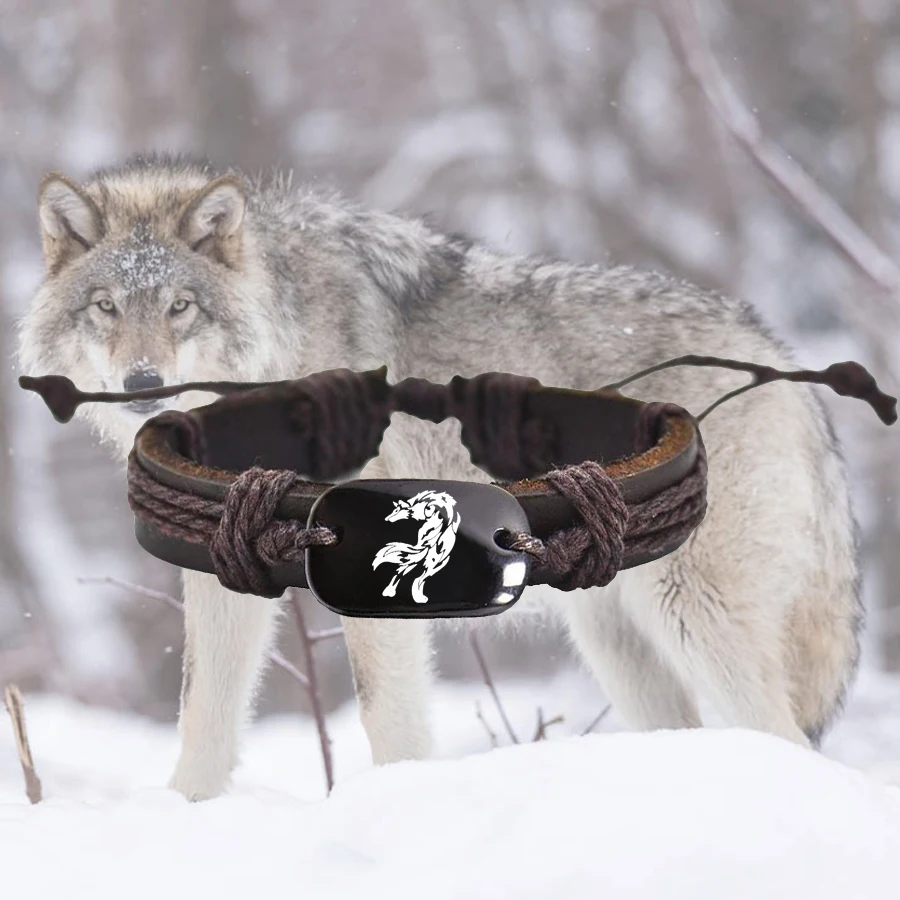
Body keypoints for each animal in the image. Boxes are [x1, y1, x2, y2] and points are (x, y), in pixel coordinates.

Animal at [18, 153, 861, 801]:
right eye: (106, 307)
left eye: (180, 307)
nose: (143, 384)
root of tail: (774, 351)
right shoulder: (222, 569)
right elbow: (203, 713)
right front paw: (186, 814)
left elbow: (384, 713)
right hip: (617, 638)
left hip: (692, 615)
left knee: (786, 737)